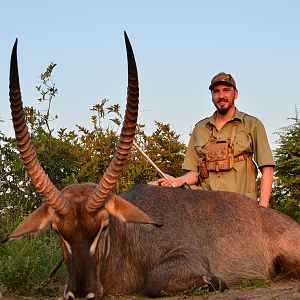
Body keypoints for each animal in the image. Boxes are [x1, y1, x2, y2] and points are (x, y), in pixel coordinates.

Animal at [4, 33, 300, 300]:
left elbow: (154, 281)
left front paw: (215, 281)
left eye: (103, 226)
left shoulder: (188, 256)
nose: (81, 294)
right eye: (57, 231)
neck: (127, 237)